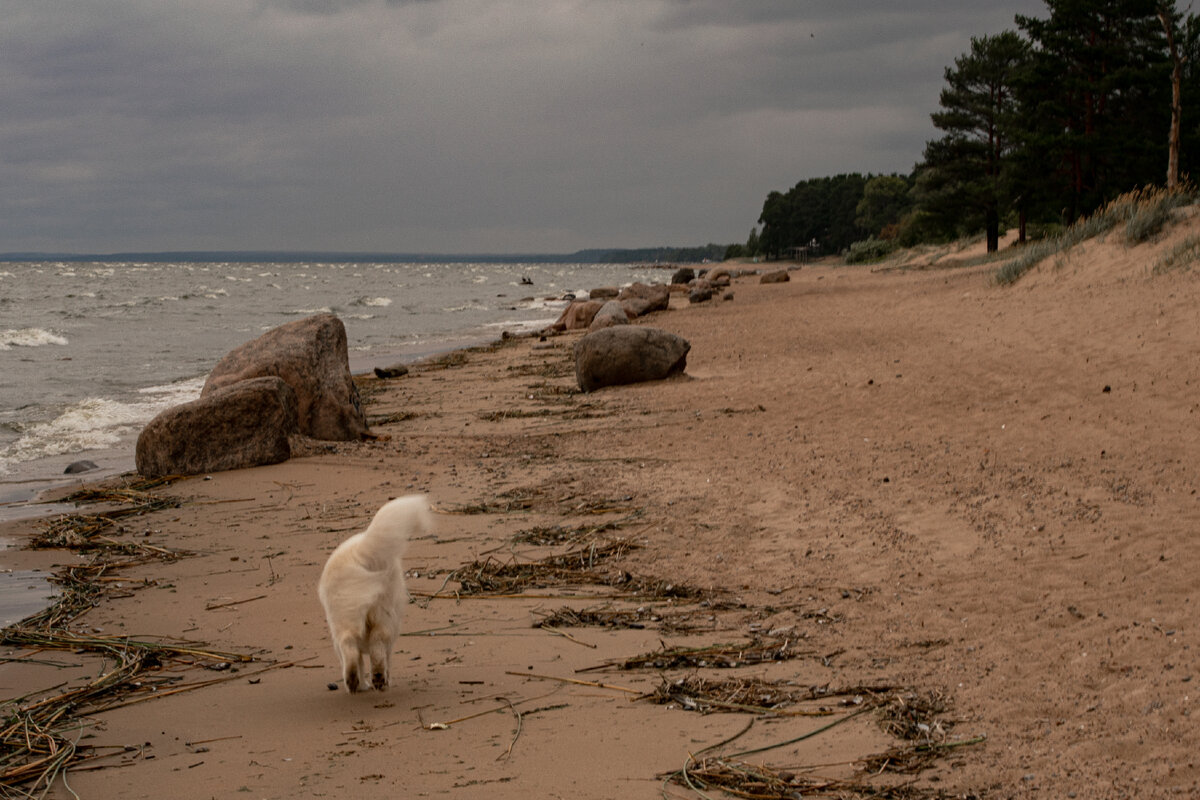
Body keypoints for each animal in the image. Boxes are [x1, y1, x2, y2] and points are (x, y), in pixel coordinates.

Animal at [319, 494, 432, 695]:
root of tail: (357, 554)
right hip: (382, 616)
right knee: (373, 647)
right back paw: (375, 679)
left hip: (352, 619)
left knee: (355, 648)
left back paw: (359, 682)